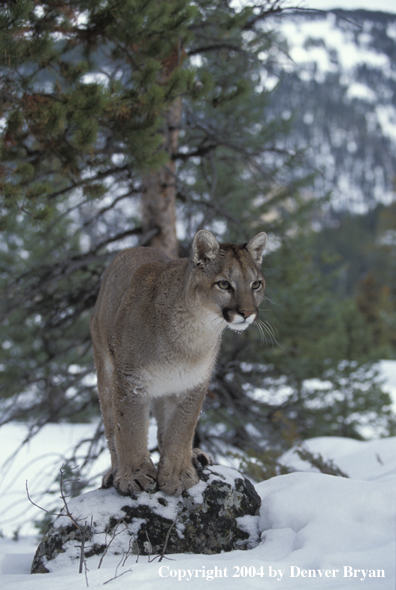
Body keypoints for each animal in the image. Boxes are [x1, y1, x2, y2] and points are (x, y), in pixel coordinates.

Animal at [91, 229, 268, 498]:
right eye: (224, 284)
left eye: (255, 284)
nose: (247, 313)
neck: (194, 330)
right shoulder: (131, 381)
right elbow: (130, 429)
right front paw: (133, 475)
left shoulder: (192, 383)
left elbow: (181, 430)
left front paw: (177, 474)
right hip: (105, 372)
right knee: (112, 428)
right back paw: (114, 471)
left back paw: (195, 456)